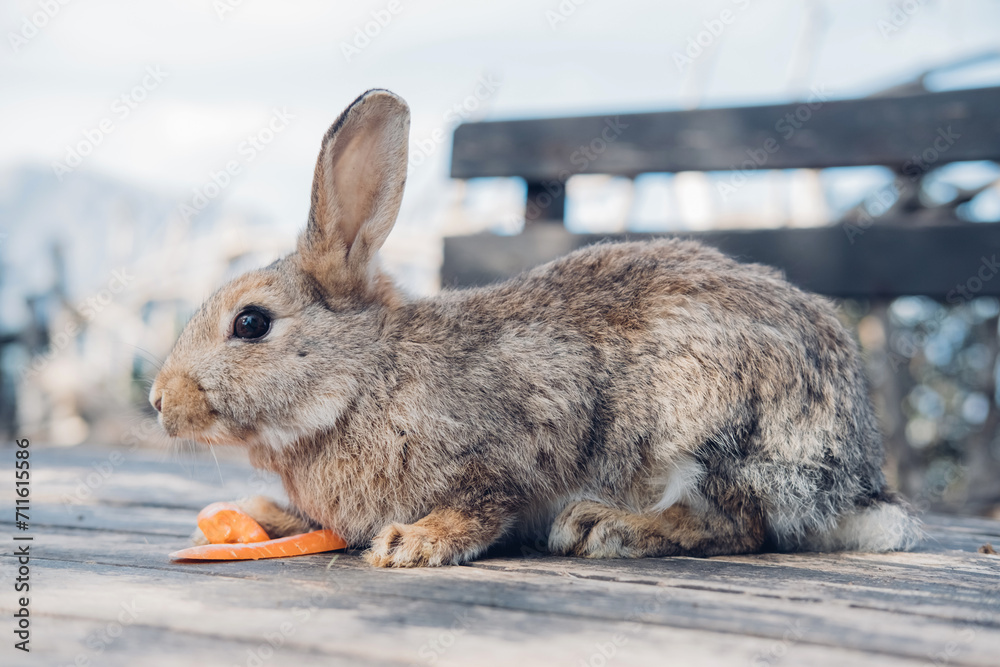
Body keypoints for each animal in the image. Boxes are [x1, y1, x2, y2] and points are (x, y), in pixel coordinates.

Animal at [150, 89, 921, 567]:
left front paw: (413, 542)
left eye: (251, 323)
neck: (361, 381)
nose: (160, 401)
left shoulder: (518, 439)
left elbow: (485, 501)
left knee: (739, 526)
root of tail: (856, 476)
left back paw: (606, 525)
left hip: (704, 429)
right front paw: (262, 511)